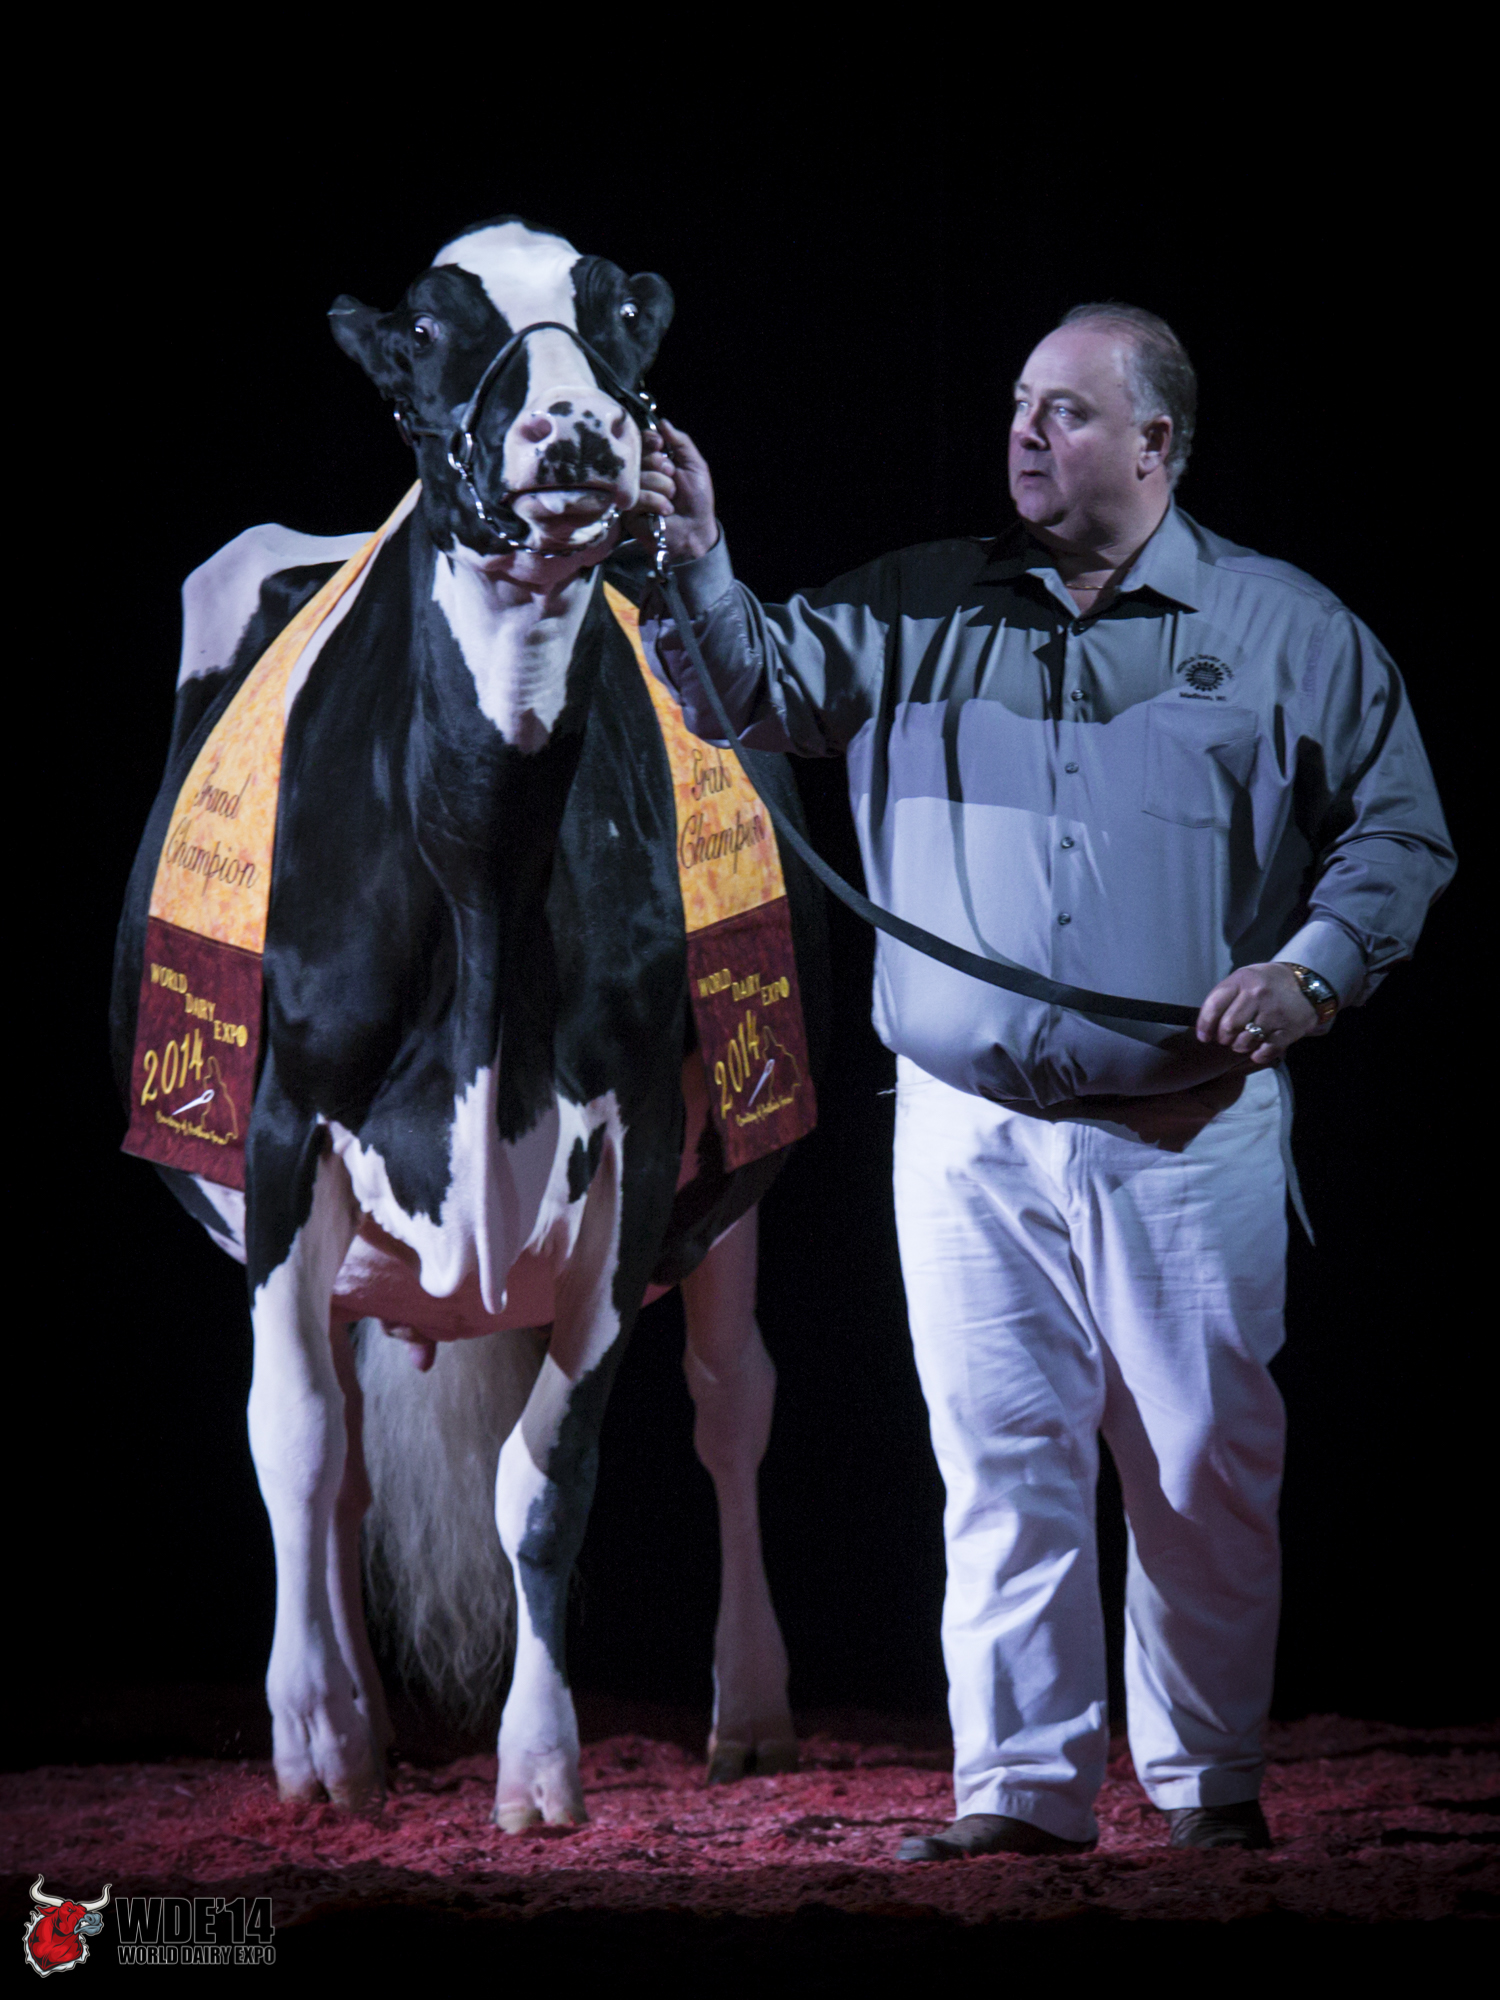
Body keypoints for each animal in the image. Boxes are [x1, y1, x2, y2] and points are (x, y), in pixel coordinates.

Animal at [111, 218, 827, 1829]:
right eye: (434, 335)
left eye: (617, 314)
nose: (575, 430)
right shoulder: (278, 1130)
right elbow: (296, 1443)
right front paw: (311, 1739)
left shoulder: (642, 1137)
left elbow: (544, 1474)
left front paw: (540, 1763)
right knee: (344, 1454)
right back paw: (364, 1731)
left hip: (744, 1168)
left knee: (733, 1401)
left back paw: (750, 1712)